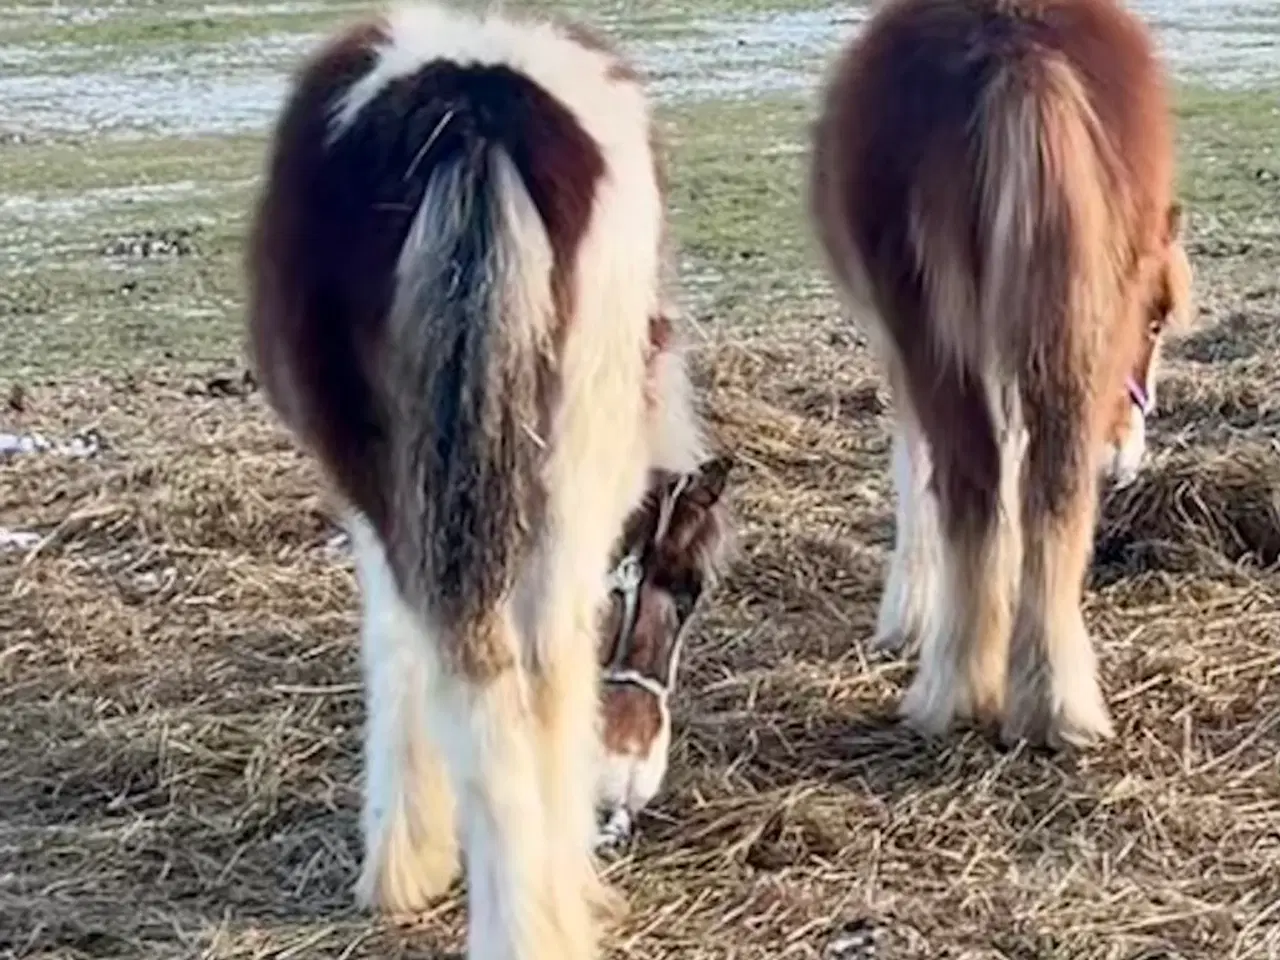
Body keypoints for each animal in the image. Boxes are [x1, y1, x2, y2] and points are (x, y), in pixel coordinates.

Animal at [808, 0, 1187, 752]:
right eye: (1156, 320)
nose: (1127, 455)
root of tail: (1019, 47)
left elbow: (913, 469)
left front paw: (908, 614)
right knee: (1054, 486)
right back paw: (1051, 704)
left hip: (932, 336)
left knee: (969, 483)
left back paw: (954, 689)